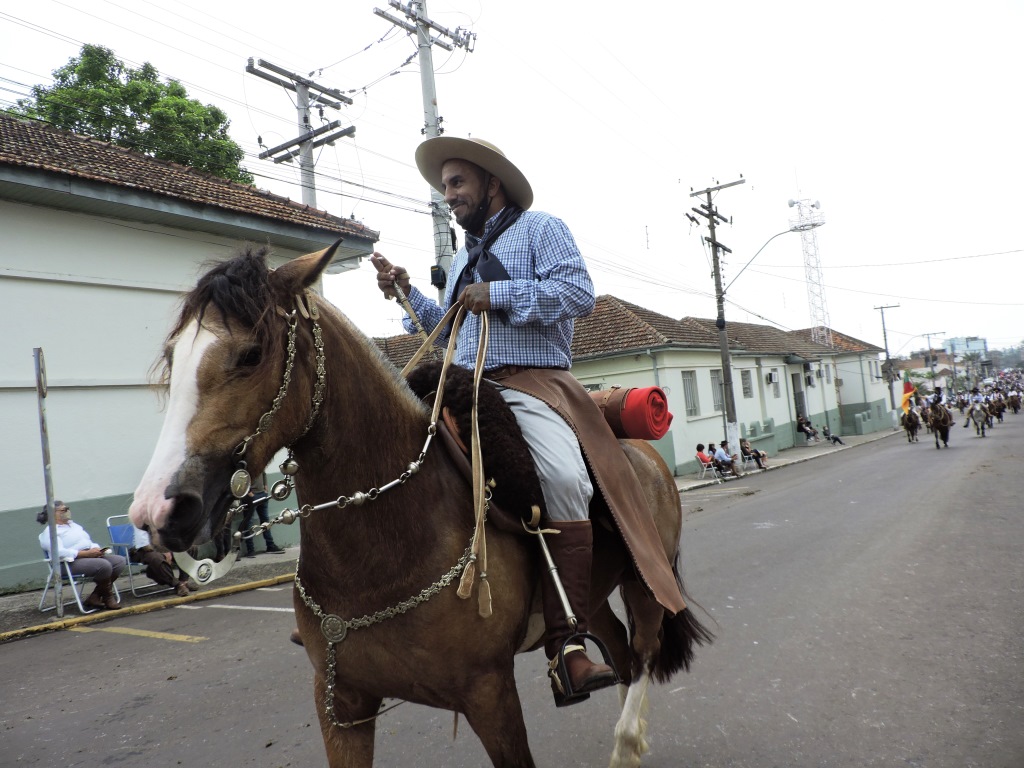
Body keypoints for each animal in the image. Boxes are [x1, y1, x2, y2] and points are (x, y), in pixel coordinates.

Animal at [130, 244, 712, 768]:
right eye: (173, 357)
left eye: (251, 354)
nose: (158, 512)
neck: (386, 543)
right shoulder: (341, 705)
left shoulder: (490, 696)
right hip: (593, 593)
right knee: (618, 648)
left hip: (645, 583)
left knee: (642, 653)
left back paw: (626, 741)